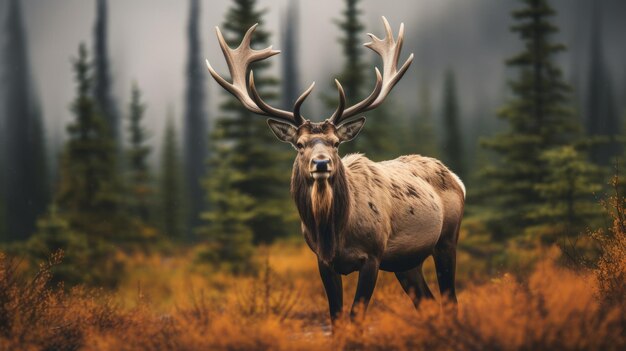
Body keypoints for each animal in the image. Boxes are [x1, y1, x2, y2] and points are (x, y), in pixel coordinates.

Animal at [206, 17, 464, 324]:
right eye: (300, 144)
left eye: (336, 143)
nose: (321, 163)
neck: (333, 232)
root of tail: (457, 179)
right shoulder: (323, 261)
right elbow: (337, 318)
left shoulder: (373, 255)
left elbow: (355, 317)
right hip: (406, 262)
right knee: (428, 302)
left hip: (446, 240)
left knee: (451, 300)